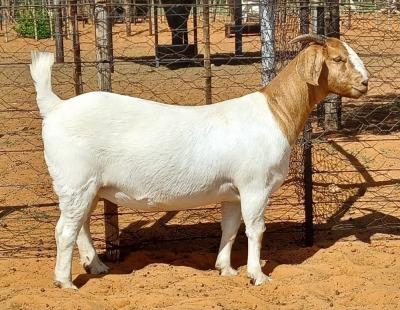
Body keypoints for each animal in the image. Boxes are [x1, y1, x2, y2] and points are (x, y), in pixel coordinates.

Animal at [30, 35, 368, 290]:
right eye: (338, 59)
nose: (365, 83)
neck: (275, 113)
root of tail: (55, 107)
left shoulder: (233, 192)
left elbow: (230, 228)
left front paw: (225, 269)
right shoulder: (255, 186)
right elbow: (255, 230)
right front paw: (257, 275)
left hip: (88, 186)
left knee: (81, 225)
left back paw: (97, 266)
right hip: (75, 180)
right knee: (65, 230)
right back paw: (65, 282)